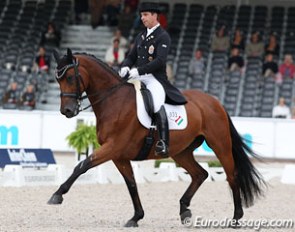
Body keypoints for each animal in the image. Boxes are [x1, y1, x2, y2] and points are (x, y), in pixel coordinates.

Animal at [48, 48, 266, 227]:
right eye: (58, 80)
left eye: (70, 77)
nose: (67, 111)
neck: (114, 101)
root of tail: (215, 102)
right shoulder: (119, 155)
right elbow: (131, 184)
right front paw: (136, 217)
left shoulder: (113, 147)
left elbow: (82, 166)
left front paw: (57, 195)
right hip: (181, 152)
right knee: (200, 174)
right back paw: (184, 210)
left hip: (220, 145)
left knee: (231, 175)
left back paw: (236, 218)